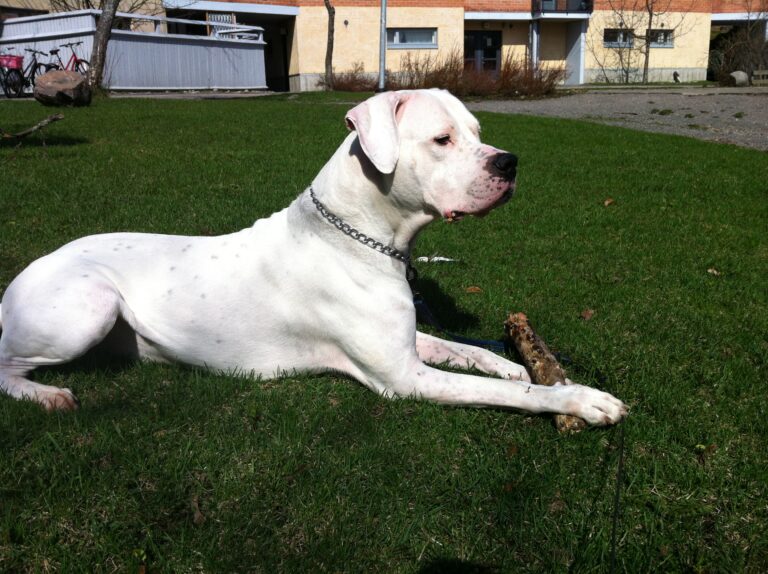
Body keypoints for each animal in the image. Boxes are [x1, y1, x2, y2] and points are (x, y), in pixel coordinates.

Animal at [0, 88, 624, 426]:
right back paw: (47, 395)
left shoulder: (407, 345)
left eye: (477, 131)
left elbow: (466, 351)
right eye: (443, 140)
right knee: (7, 366)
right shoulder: (404, 378)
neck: (359, 235)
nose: (509, 162)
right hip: (90, 304)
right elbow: (513, 394)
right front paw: (582, 399)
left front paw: (512, 361)